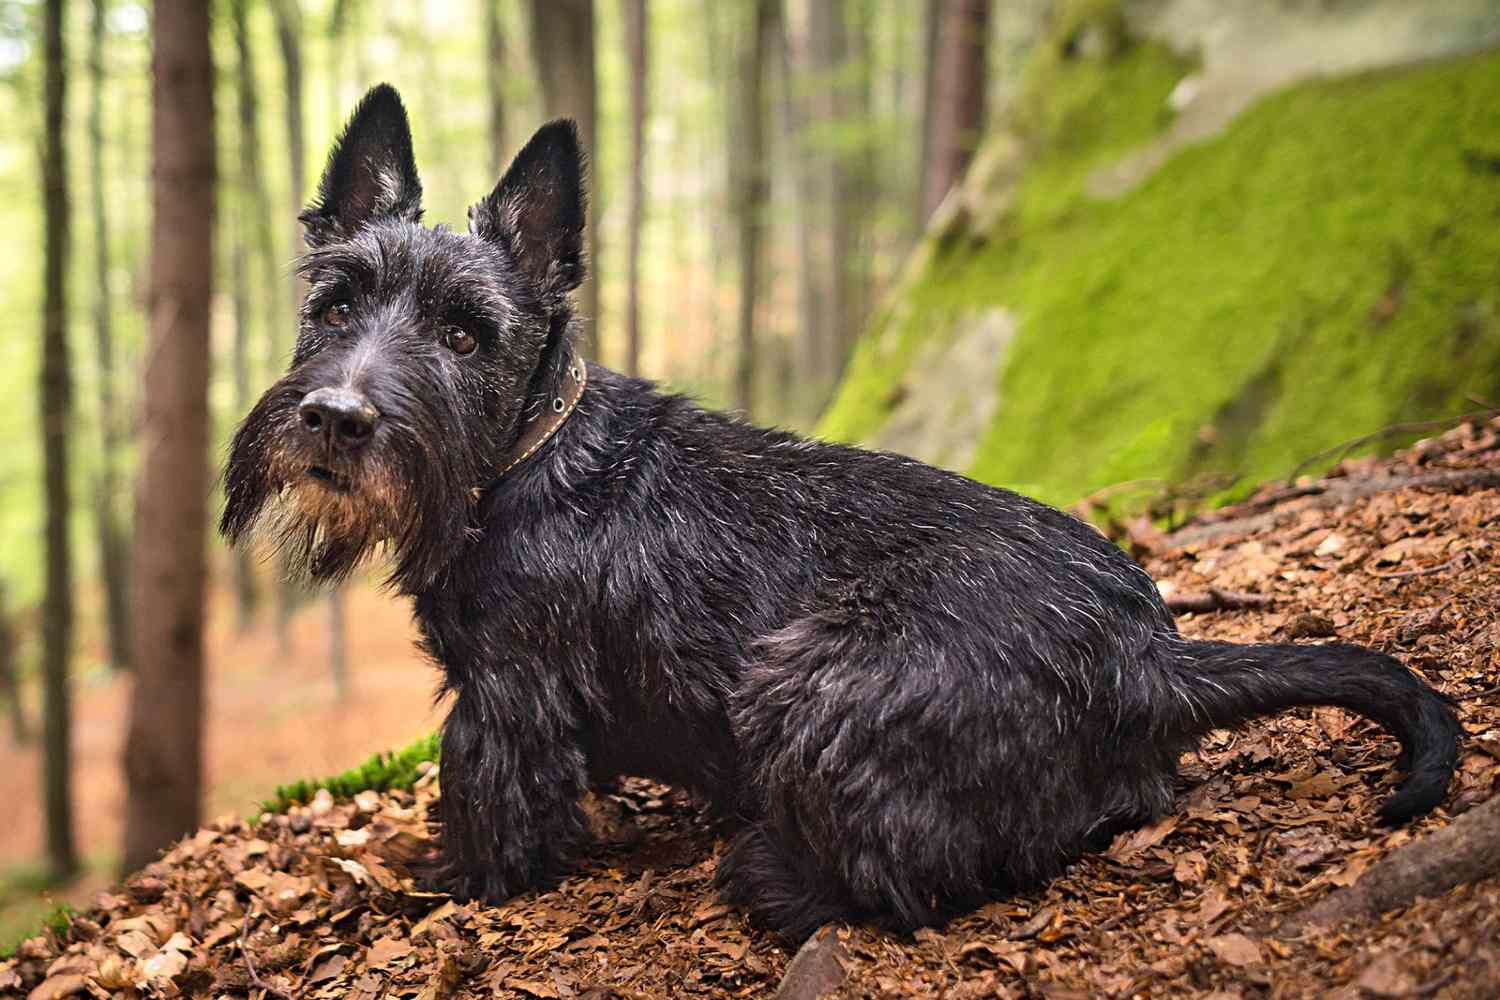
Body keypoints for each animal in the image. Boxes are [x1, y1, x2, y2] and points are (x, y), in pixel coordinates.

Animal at [225, 83, 1464, 941]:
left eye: (465, 334)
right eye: (333, 305)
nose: (335, 417)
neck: (523, 453)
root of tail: (1153, 657)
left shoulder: (507, 701)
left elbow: (489, 812)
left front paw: (438, 885)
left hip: (809, 677)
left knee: (911, 872)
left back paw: (770, 872)